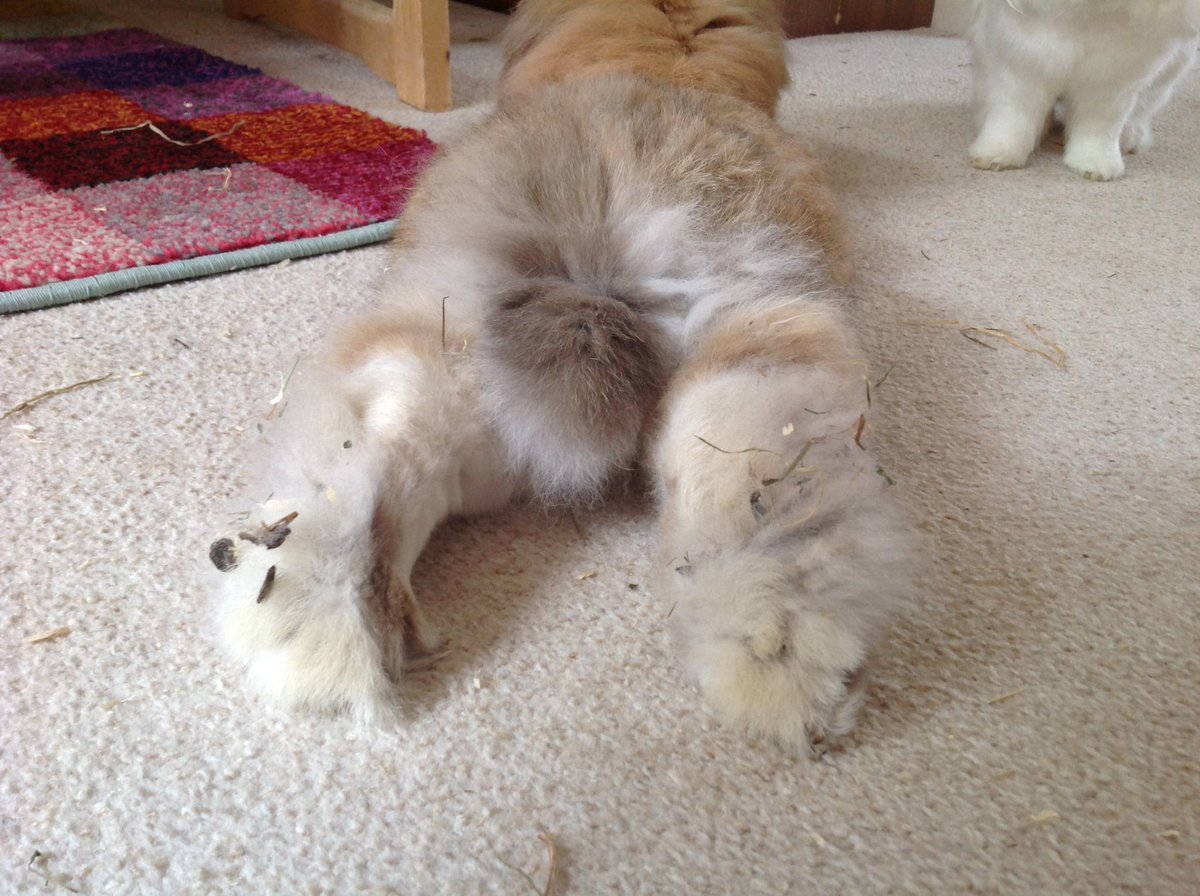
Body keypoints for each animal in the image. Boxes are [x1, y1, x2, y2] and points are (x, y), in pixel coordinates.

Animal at [968, 0, 1200, 180]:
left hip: (1167, 78)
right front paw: (993, 157)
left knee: (1140, 114)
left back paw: (1130, 139)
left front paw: (1096, 168)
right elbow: (1012, 119)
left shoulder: (1109, 87)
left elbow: (1099, 129)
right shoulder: (1023, 68)